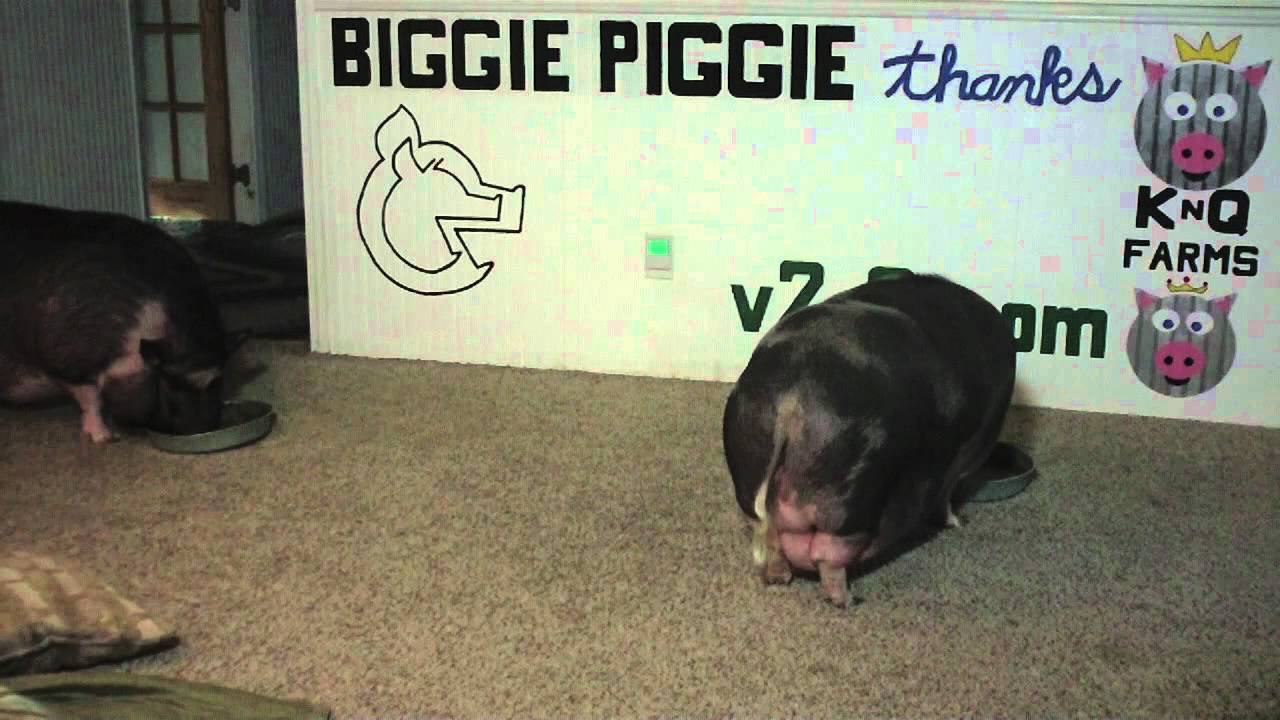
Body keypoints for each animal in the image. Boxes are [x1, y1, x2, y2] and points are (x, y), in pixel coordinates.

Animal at [0, 200, 247, 444]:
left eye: (218, 388)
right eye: (170, 400)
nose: (201, 431)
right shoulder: (64, 361)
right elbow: (91, 398)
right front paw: (106, 438)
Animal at [721, 273, 1016, 608]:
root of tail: (791, 399)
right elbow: (946, 496)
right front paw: (957, 522)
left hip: (752, 471)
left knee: (769, 541)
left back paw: (780, 579)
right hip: (852, 501)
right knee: (828, 556)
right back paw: (849, 600)